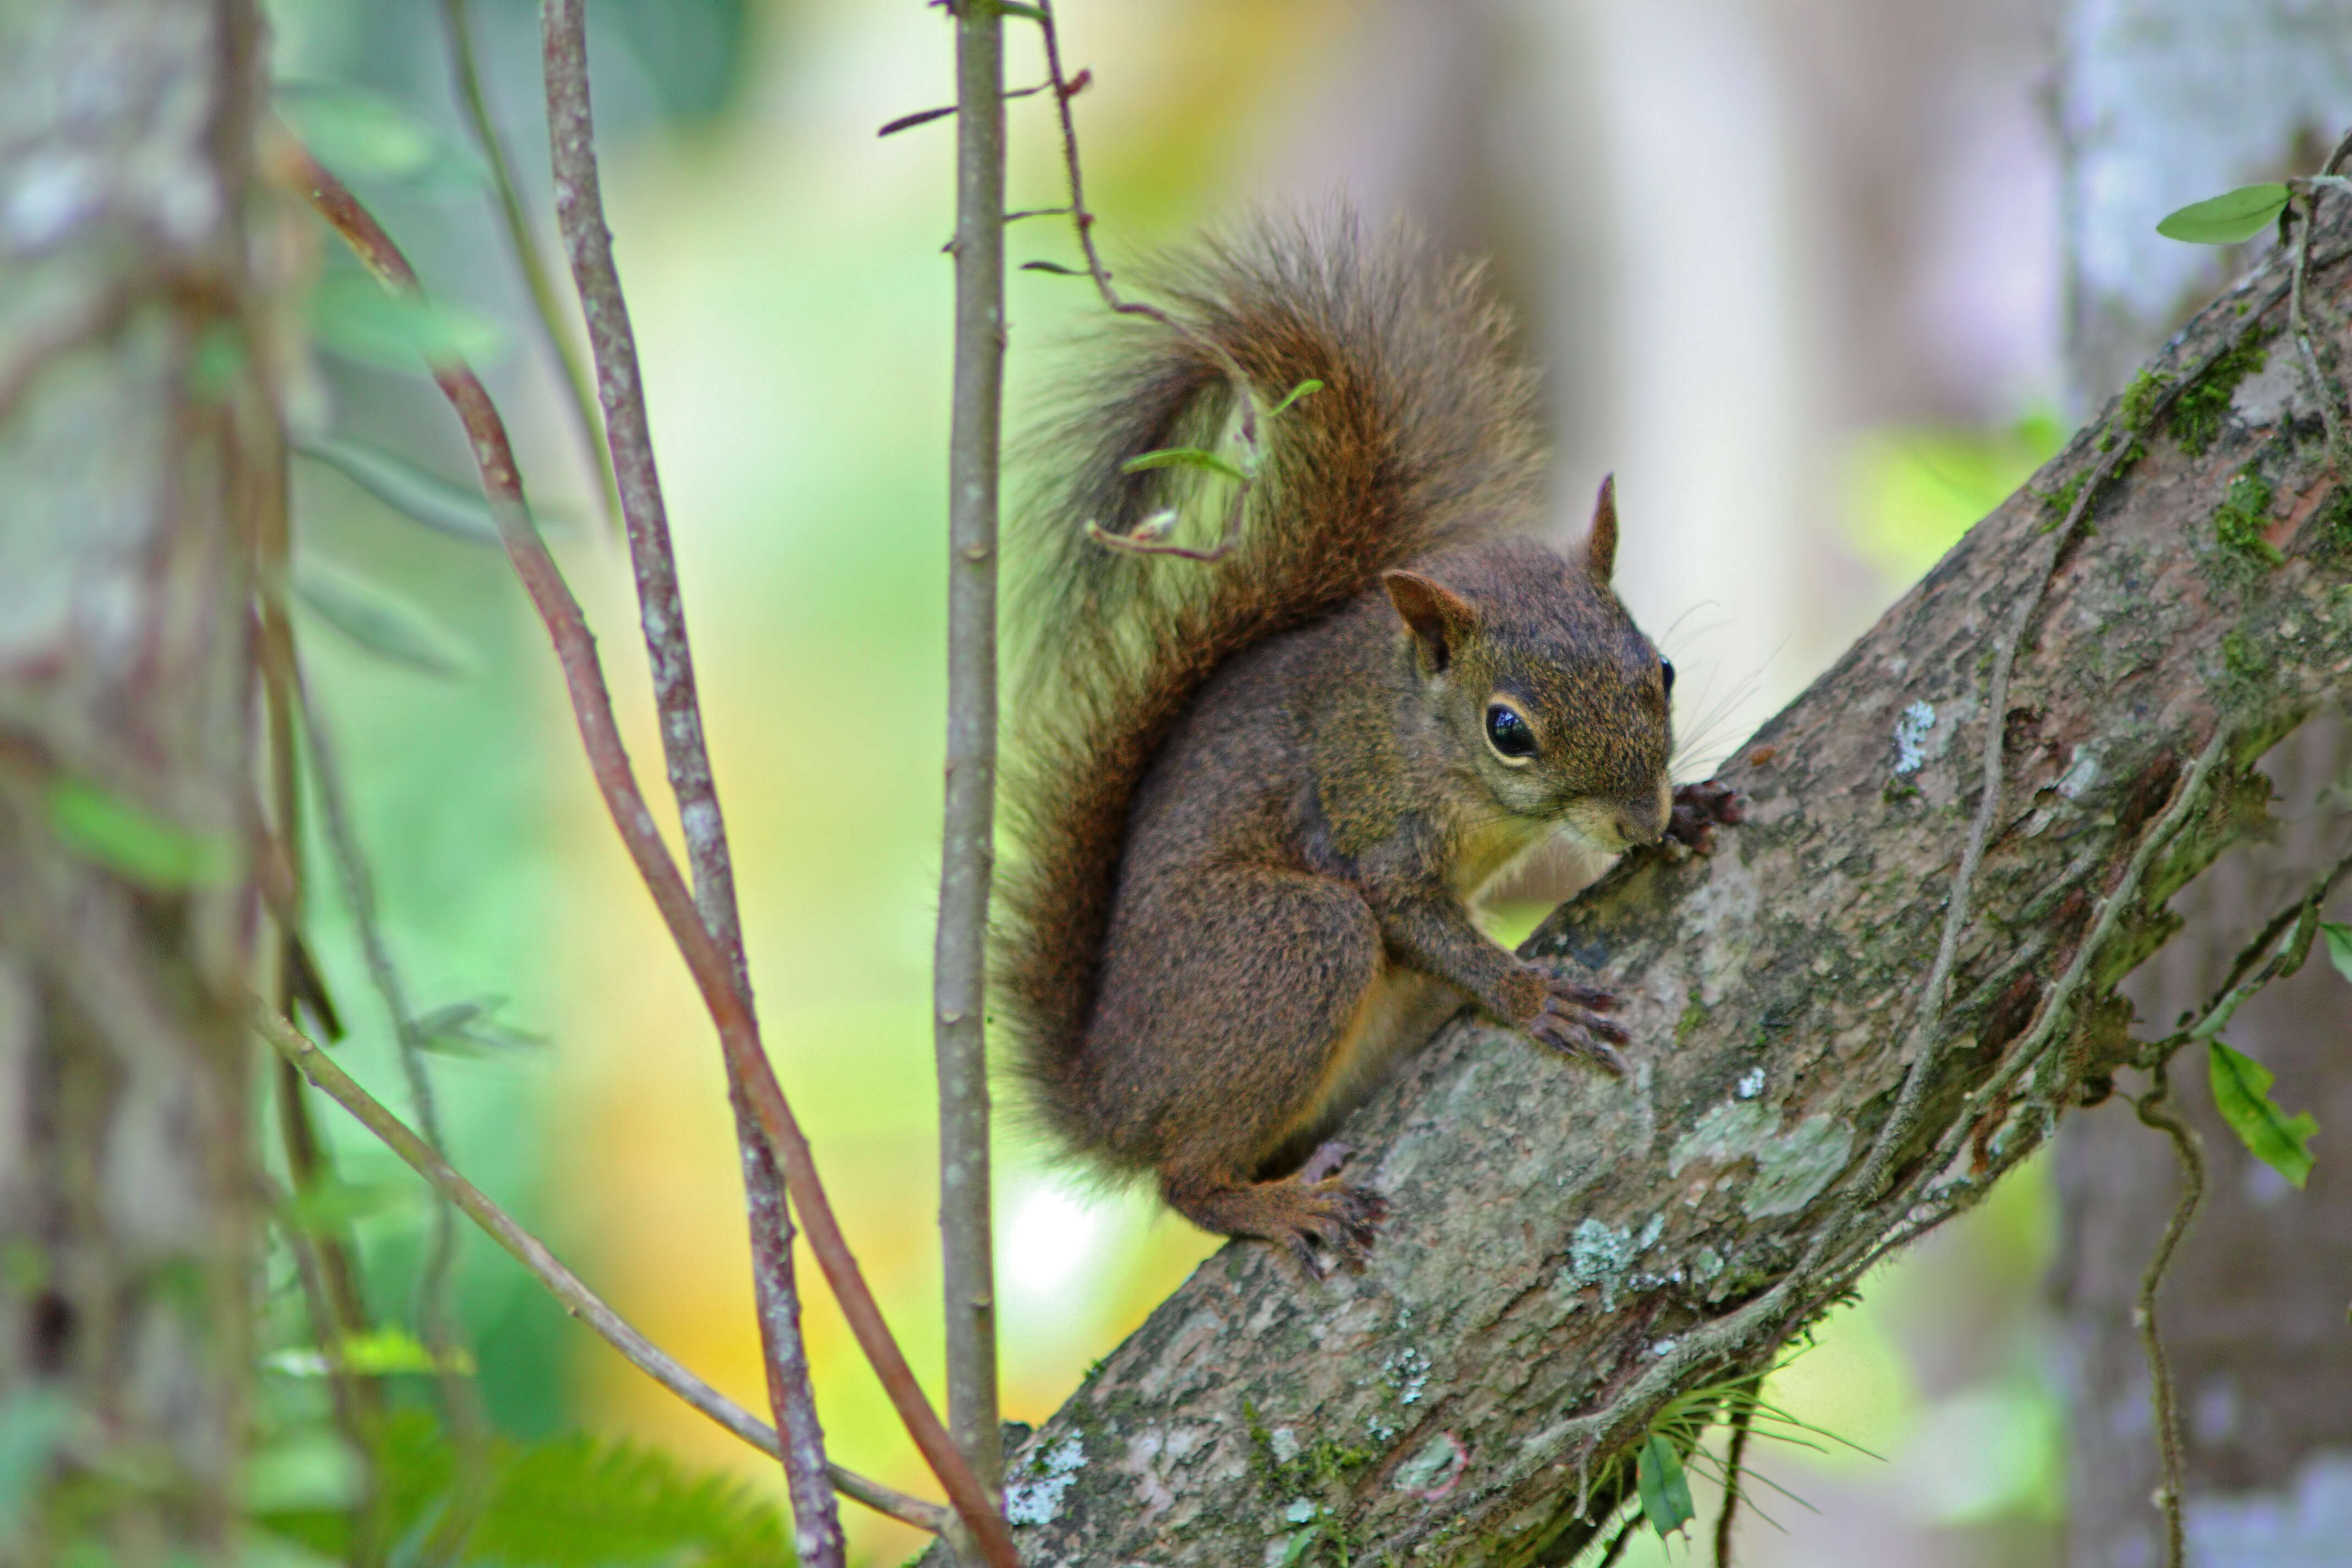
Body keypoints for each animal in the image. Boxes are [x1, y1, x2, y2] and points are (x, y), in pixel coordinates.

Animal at [992, 215, 1731, 1278]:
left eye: (1662, 670)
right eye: (1509, 730)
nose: (1639, 819)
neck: (1431, 743)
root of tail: (1109, 1096)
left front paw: (1690, 807)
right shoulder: (1370, 820)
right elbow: (1412, 914)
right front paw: (1526, 994)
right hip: (1288, 948)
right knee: (1186, 1179)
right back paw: (1276, 1206)